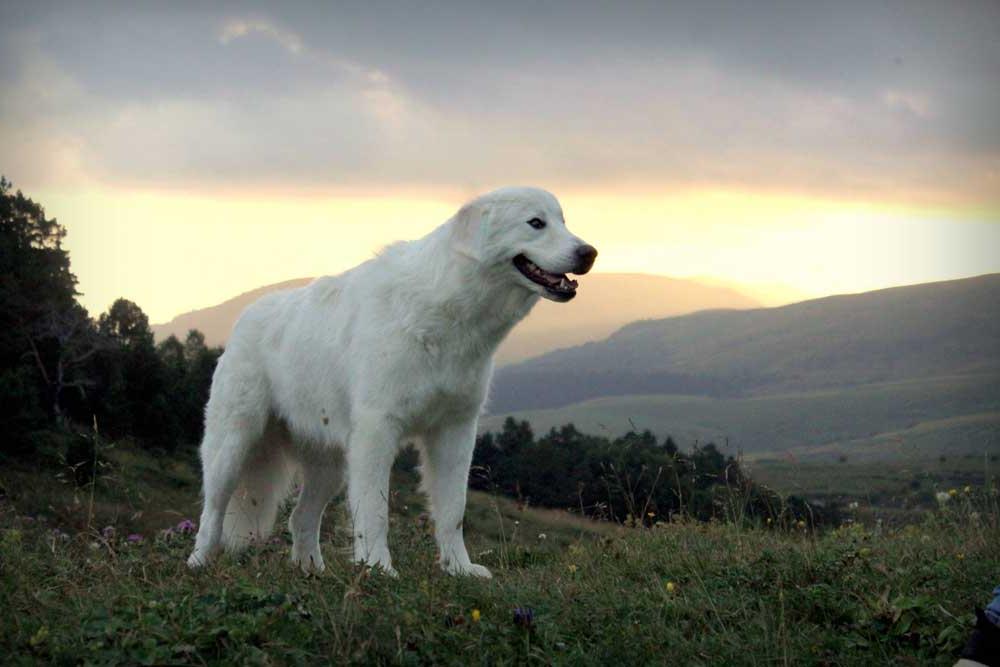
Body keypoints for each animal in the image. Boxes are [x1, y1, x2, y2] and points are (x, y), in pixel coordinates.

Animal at [187, 188, 592, 580]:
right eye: (536, 223)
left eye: (564, 222)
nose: (589, 253)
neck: (449, 309)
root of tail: (246, 316)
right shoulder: (377, 430)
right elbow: (375, 510)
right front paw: (378, 567)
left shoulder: (456, 431)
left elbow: (453, 511)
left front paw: (460, 569)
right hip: (233, 446)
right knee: (212, 514)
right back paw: (198, 563)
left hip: (330, 466)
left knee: (300, 517)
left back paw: (311, 571)